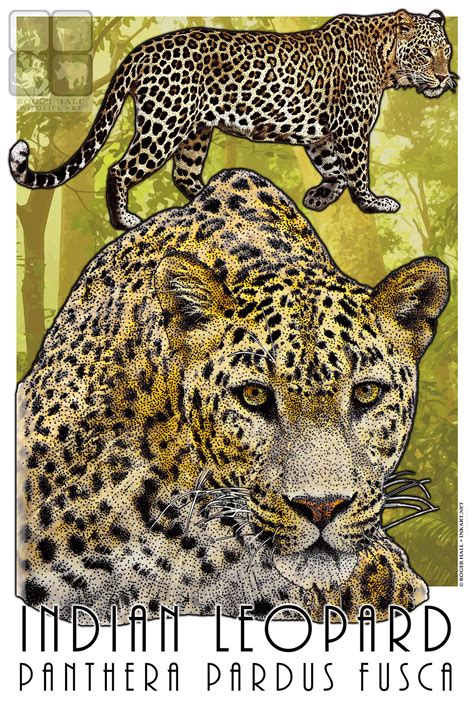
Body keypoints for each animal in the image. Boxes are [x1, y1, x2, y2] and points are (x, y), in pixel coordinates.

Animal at [9, 10, 456, 230]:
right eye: (426, 52)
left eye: (447, 51)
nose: (445, 77)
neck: (385, 59)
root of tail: (139, 51)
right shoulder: (352, 127)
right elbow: (358, 171)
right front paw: (374, 203)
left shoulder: (322, 134)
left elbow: (334, 168)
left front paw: (320, 196)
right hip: (165, 124)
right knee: (120, 169)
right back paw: (125, 220)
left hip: (196, 130)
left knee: (184, 174)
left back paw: (216, 203)